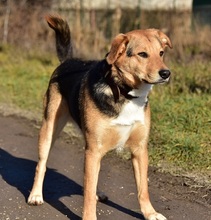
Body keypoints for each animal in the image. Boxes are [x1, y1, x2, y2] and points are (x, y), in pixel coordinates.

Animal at [27, 14, 171, 220]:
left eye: (161, 53)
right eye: (142, 54)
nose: (166, 73)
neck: (124, 92)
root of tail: (68, 61)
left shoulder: (139, 149)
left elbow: (143, 188)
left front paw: (150, 213)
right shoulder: (94, 150)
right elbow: (87, 193)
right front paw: (89, 216)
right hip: (49, 130)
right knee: (42, 164)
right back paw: (36, 195)